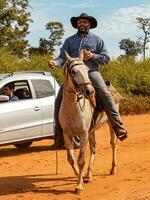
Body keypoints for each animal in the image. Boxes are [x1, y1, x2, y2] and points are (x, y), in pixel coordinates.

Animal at [58, 50, 122, 194]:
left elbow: (81, 160)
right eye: (73, 71)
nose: (90, 91)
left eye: (87, 70)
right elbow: (71, 159)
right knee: (94, 148)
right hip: (91, 131)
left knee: (113, 144)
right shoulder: (67, 134)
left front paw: (79, 186)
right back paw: (89, 174)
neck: (72, 108)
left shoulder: (83, 134)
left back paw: (113, 169)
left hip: (111, 124)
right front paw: (79, 176)